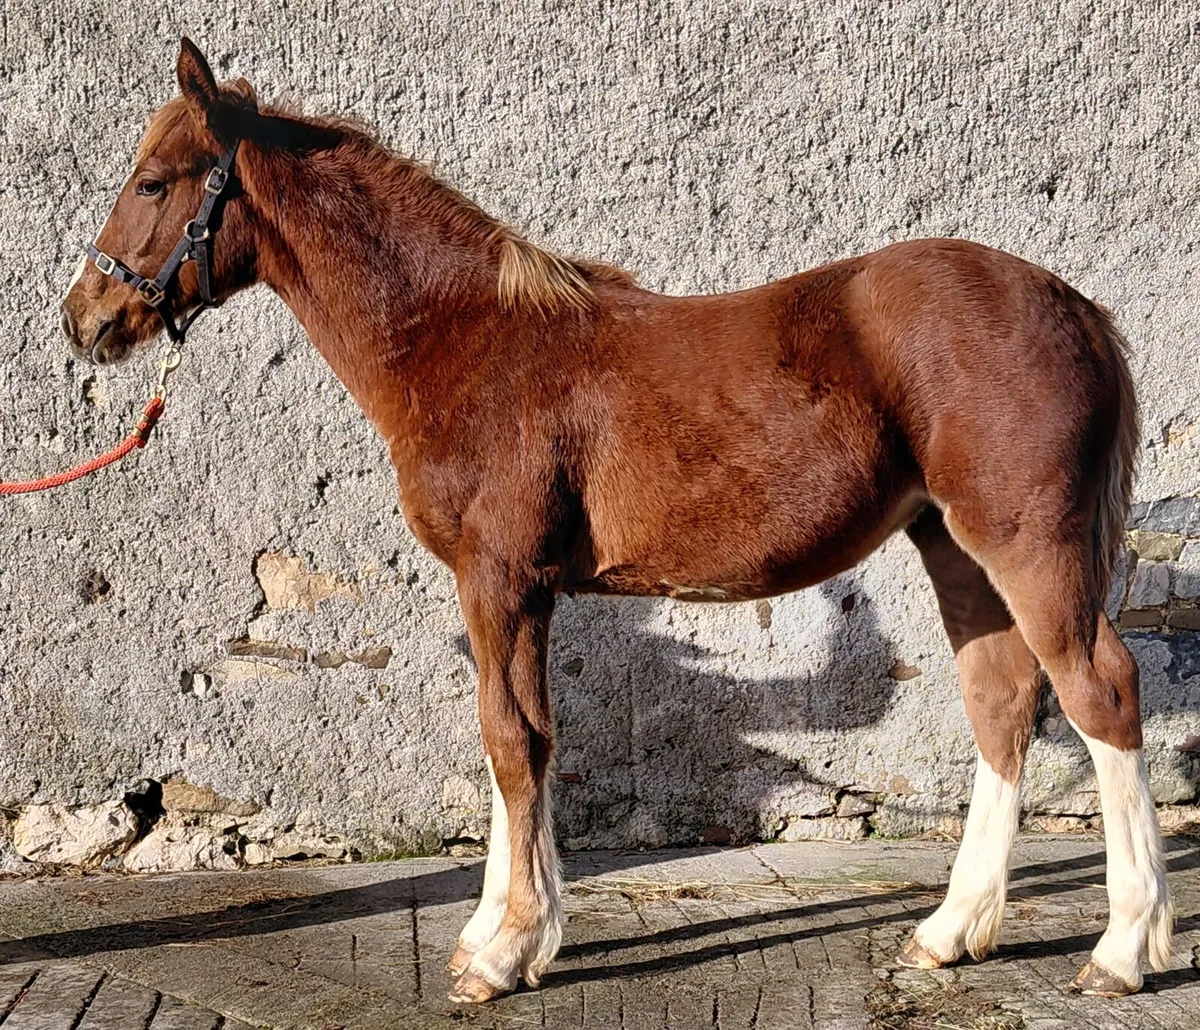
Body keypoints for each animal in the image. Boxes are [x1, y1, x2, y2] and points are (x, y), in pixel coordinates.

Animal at [59, 39, 1172, 1004]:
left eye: (153, 182)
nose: (83, 321)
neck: (470, 339)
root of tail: (1070, 301)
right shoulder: (517, 589)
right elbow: (523, 738)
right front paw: (502, 931)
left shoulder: (499, 577)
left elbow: (511, 740)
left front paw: (502, 952)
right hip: (954, 547)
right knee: (1002, 700)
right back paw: (950, 932)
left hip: (1028, 545)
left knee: (1102, 690)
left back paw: (1122, 949)